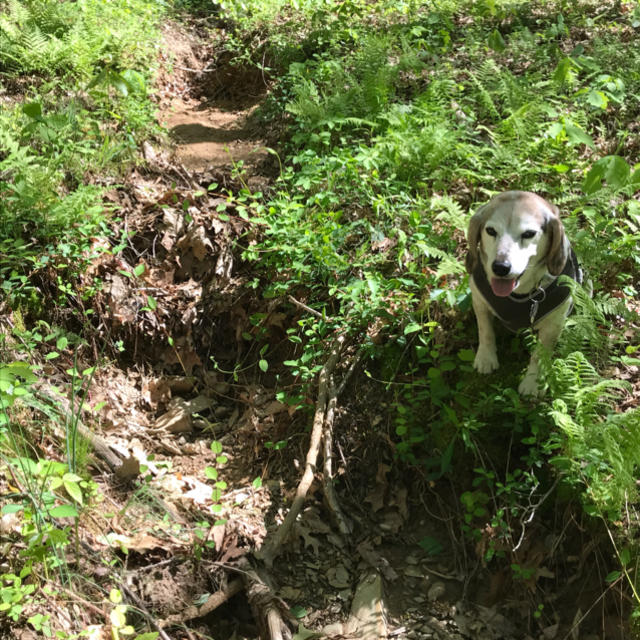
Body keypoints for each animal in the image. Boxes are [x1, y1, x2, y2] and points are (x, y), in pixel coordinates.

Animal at [464, 190, 580, 396]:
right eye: (491, 231)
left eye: (528, 234)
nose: (500, 267)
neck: (519, 293)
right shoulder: (479, 301)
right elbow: (485, 331)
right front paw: (486, 358)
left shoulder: (553, 325)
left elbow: (539, 355)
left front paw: (533, 382)